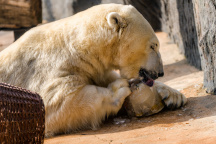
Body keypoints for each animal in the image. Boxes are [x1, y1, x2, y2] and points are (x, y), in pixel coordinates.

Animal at [0, 3, 186, 136]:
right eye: (153, 46)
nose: (160, 72)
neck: (78, 46)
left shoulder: (96, 68)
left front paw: (173, 96)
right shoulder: (49, 66)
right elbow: (57, 101)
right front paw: (119, 88)